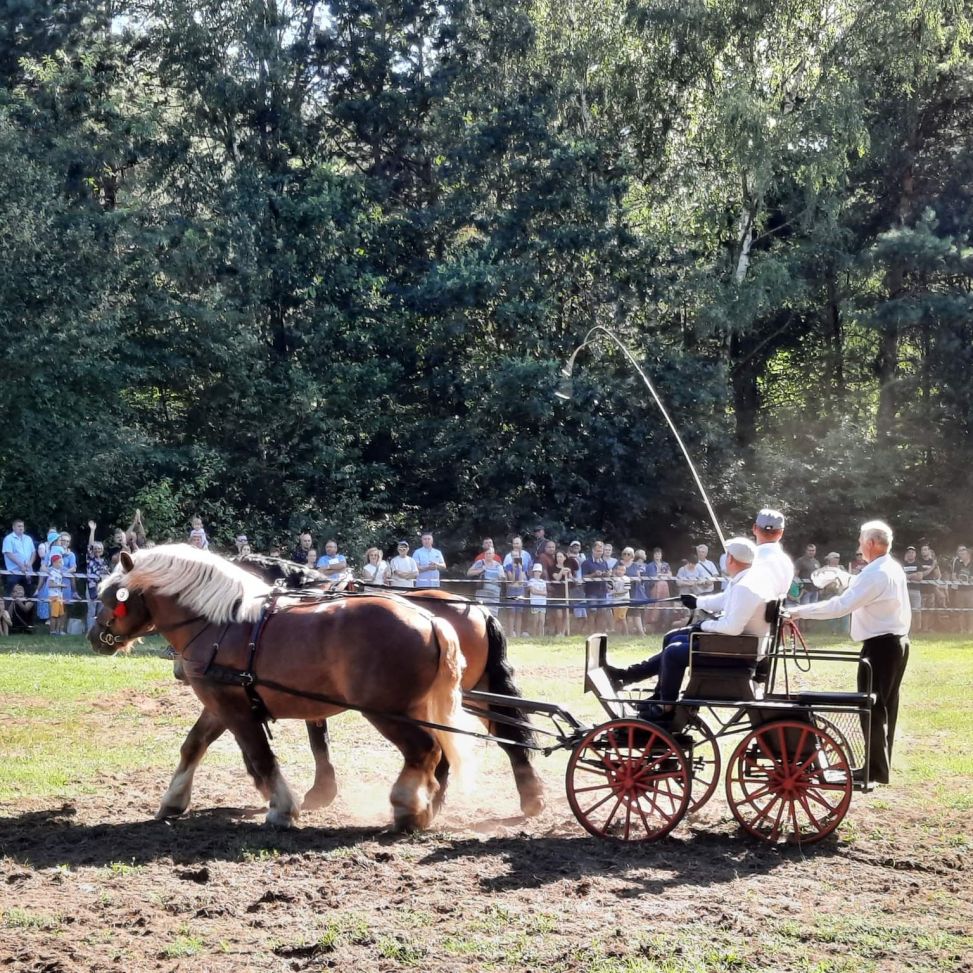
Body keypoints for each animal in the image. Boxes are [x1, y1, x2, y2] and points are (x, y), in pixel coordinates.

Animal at [87, 548, 474, 828]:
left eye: (113, 596)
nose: (95, 636)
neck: (220, 623)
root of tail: (431, 620)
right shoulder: (218, 703)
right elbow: (193, 746)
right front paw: (173, 801)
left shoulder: (235, 709)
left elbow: (260, 755)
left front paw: (282, 809)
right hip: (416, 709)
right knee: (437, 756)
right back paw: (425, 806)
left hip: (387, 712)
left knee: (424, 751)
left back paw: (407, 809)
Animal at [170, 556, 544, 812]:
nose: (180, 670)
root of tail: (478, 609)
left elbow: (316, 740)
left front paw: (318, 791)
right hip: (471, 694)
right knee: (504, 737)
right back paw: (526, 796)